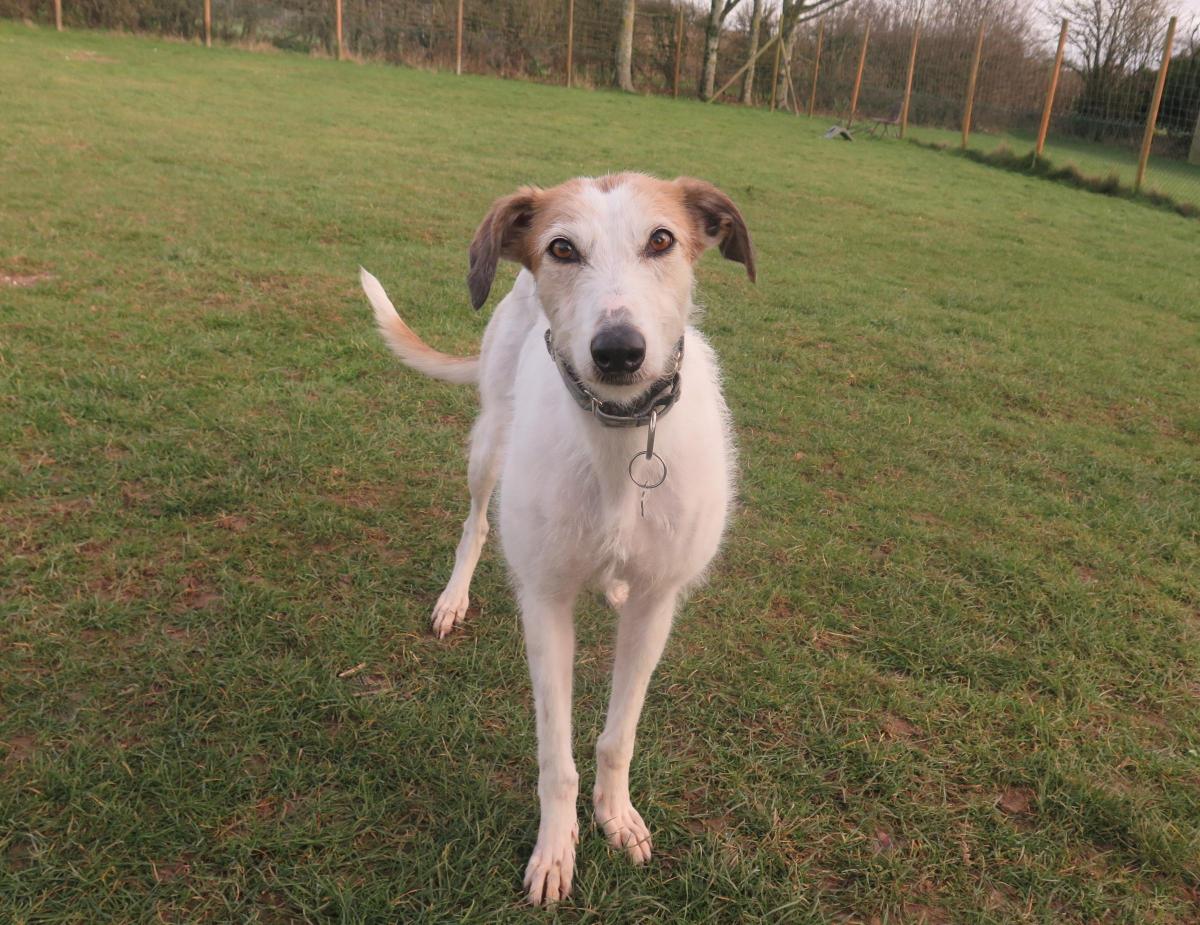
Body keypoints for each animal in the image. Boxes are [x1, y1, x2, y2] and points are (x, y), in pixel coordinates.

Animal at [357, 173, 748, 902]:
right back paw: (454, 596)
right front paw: (555, 849)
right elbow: (554, 754)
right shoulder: (544, 602)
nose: (619, 352)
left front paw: (616, 816)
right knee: (475, 523)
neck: (620, 440)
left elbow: (618, 734)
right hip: (490, 445)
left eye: (663, 239)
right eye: (562, 248)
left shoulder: (659, 602)